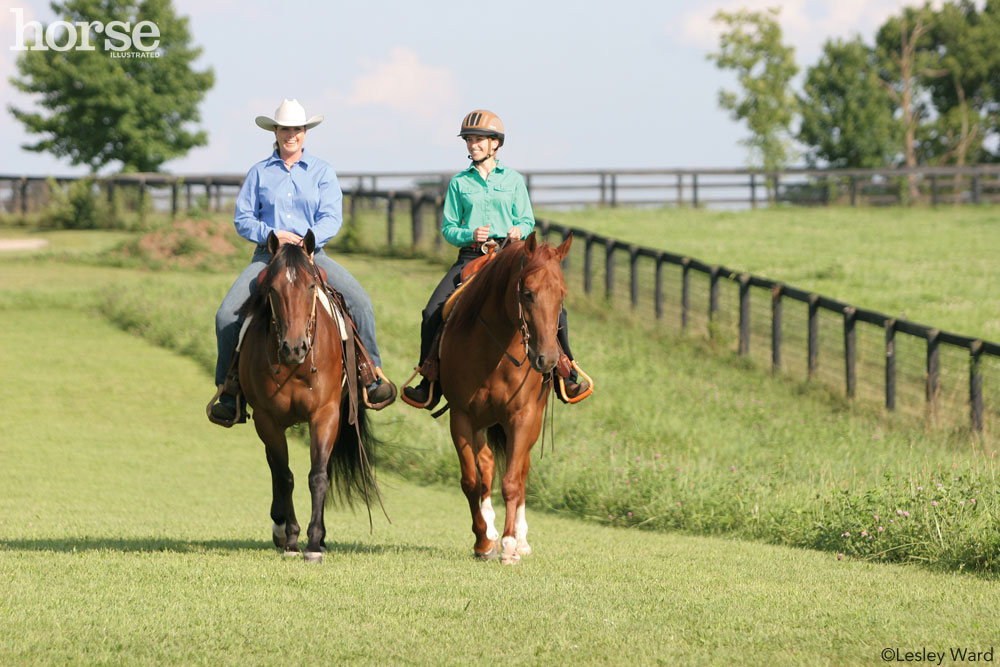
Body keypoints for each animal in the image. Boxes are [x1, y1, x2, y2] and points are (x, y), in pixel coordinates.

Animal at [238, 230, 378, 564]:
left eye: (311, 286)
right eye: (273, 289)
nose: (294, 347)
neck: (296, 366)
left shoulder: (325, 415)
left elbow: (318, 475)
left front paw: (314, 543)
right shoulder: (267, 420)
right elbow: (284, 475)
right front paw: (291, 539)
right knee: (275, 468)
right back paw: (279, 527)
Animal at [438, 232, 572, 568]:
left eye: (562, 295)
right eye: (527, 293)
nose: (547, 359)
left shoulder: (523, 418)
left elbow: (512, 480)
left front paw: (511, 546)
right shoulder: (462, 417)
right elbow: (471, 481)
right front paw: (484, 541)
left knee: (521, 471)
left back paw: (520, 539)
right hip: (480, 424)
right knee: (485, 466)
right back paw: (490, 528)